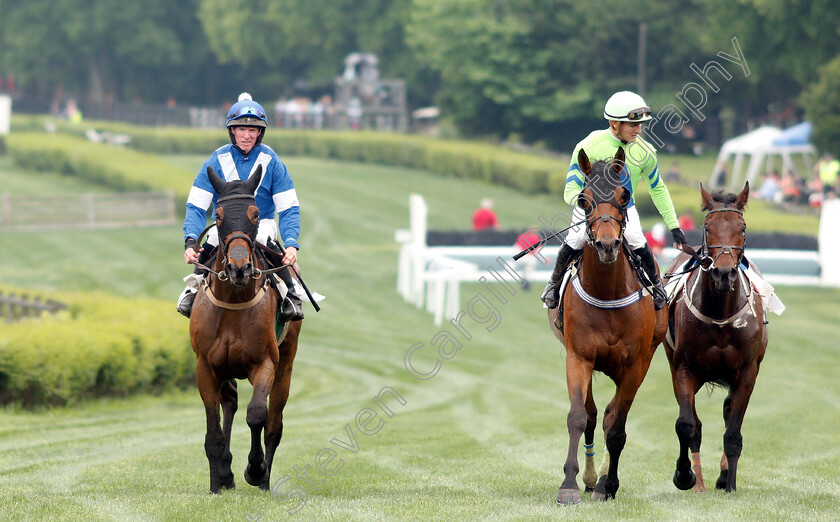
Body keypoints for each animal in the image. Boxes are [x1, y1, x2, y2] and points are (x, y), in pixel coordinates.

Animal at [188, 164, 302, 492]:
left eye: (254, 213)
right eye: (218, 215)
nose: (238, 268)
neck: (235, 301)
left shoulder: (265, 362)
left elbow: (257, 415)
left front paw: (255, 468)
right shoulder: (206, 365)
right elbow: (213, 429)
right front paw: (217, 481)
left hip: (286, 361)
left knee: (274, 422)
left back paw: (263, 480)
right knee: (230, 402)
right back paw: (225, 473)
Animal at [548, 146, 668, 504]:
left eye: (623, 195)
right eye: (584, 200)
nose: (607, 245)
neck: (607, 292)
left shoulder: (634, 364)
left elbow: (616, 427)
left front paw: (608, 484)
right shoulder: (579, 357)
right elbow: (578, 416)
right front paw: (569, 485)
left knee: (613, 414)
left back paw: (601, 479)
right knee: (592, 414)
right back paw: (590, 477)